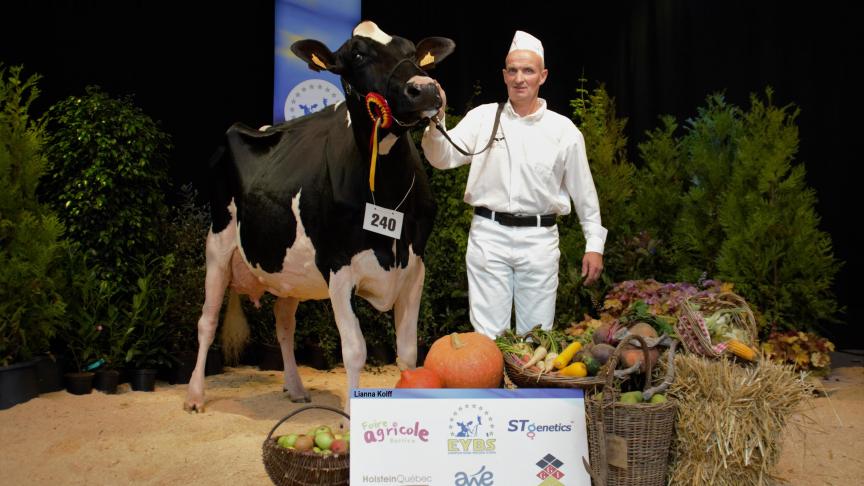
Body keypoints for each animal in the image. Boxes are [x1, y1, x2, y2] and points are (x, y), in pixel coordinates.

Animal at [181, 20, 452, 412]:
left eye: (413, 52)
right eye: (357, 55)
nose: (426, 89)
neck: (387, 194)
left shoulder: (415, 267)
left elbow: (408, 353)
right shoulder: (338, 267)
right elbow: (354, 350)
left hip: (290, 270)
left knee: (283, 323)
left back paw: (295, 388)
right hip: (217, 243)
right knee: (207, 319)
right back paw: (194, 395)